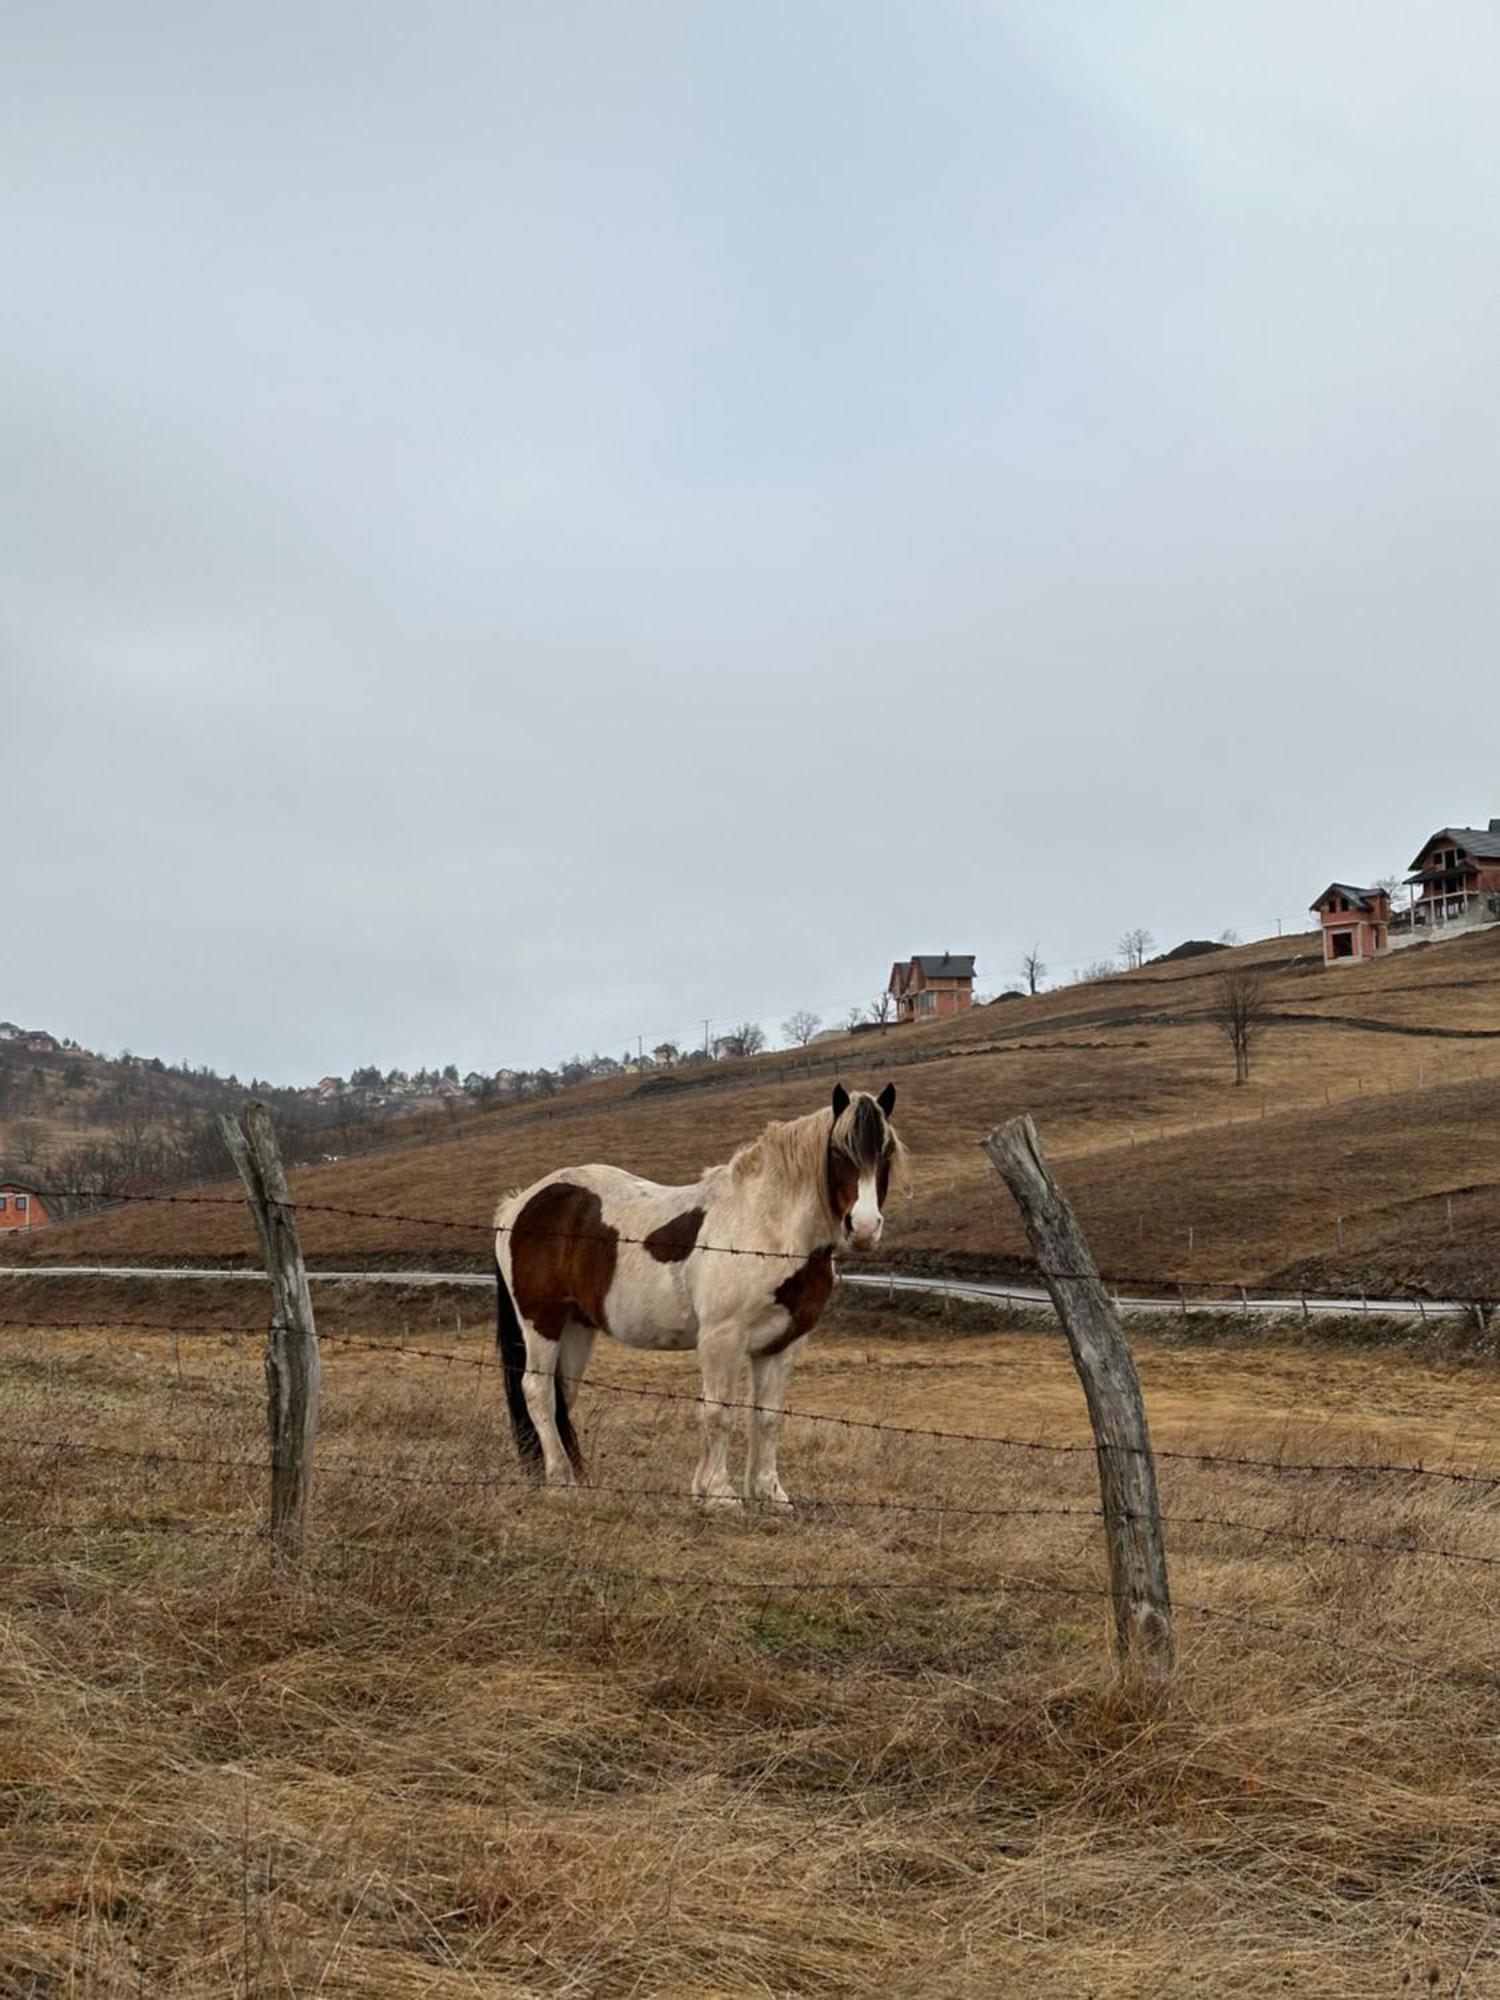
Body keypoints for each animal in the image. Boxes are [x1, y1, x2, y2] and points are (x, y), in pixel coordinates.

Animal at [500, 1096, 912, 1504]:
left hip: (577, 1326)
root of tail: (519, 1205)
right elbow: (718, 1411)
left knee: (562, 1395)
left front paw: (769, 1492)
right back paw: (561, 1480)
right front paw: (717, 1492)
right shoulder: (722, 1338)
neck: (766, 1227)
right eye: (838, 1151)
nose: (864, 1228)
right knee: (538, 1390)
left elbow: (768, 1416)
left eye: (886, 1150)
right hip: (542, 1322)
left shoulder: (783, 1342)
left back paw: (578, 1479)